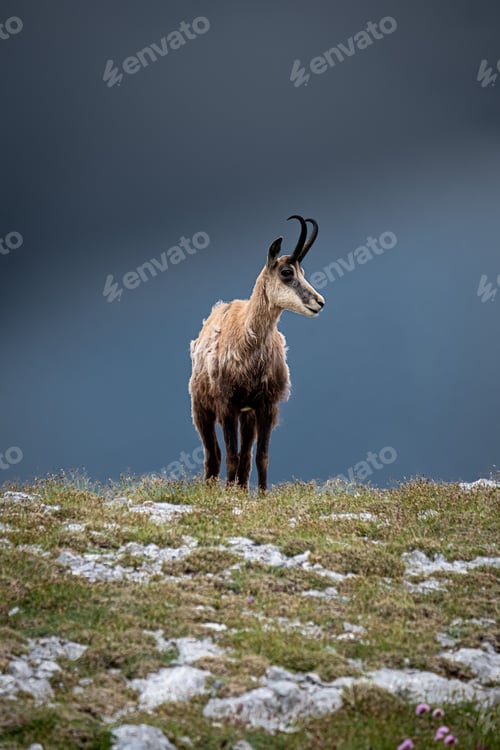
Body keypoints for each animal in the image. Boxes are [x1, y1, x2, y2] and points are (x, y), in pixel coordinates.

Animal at [189, 215, 325, 492]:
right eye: (286, 272)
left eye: (302, 272)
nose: (319, 302)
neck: (247, 346)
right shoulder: (227, 405)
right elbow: (231, 455)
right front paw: (227, 495)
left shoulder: (265, 406)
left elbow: (261, 455)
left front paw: (261, 495)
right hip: (202, 408)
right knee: (214, 454)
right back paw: (214, 488)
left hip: (247, 416)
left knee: (245, 455)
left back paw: (241, 488)